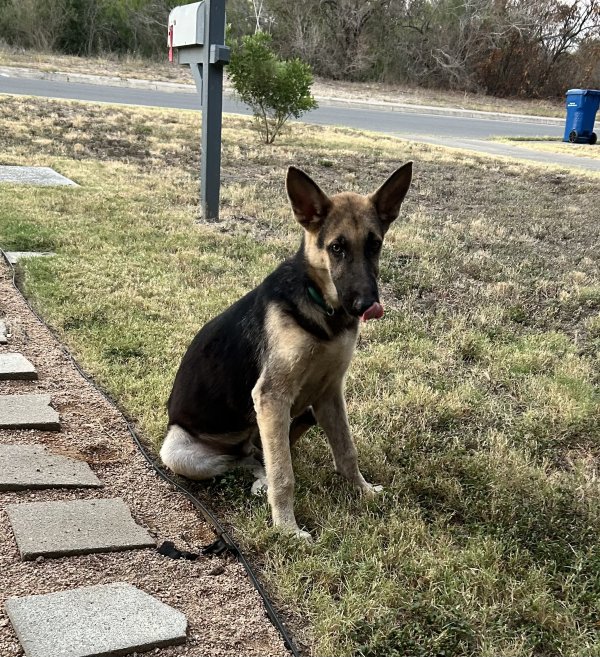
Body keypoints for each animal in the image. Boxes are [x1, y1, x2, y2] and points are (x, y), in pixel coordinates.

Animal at [159, 161, 412, 536]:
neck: (322, 308)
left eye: (374, 245)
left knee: (257, 454)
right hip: (180, 450)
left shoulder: (330, 393)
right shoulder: (272, 396)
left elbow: (346, 450)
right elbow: (284, 473)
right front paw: (287, 529)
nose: (366, 305)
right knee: (243, 459)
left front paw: (363, 491)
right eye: (337, 248)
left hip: (295, 414)